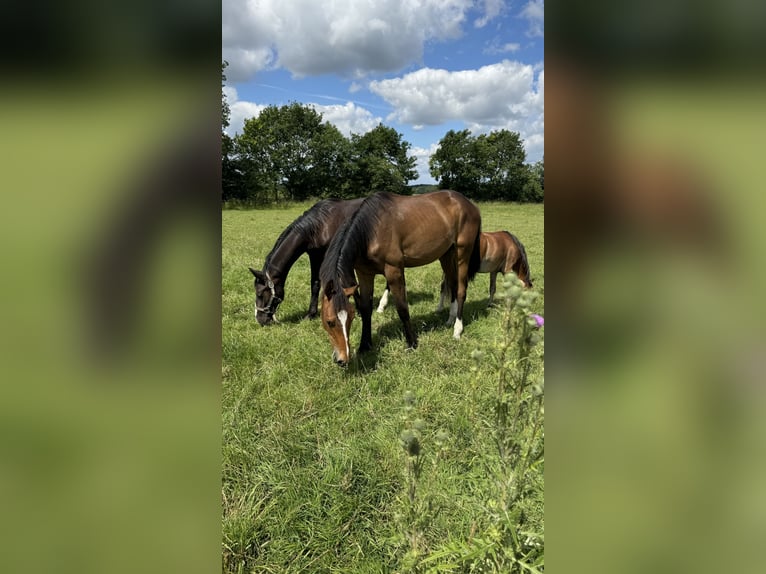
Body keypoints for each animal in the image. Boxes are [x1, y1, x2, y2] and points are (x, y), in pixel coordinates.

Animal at [248, 198, 364, 326]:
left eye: (260, 294)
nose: (260, 320)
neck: (321, 225)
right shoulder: (315, 256)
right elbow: (315, 284)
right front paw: (311, 314)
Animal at [320, 191, 484, 366]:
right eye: (329, 321)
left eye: (349, 318)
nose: (342, 359)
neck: (371, 230)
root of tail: (469, 204)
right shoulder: (364, 274)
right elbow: (365, 309)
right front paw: (365, 345)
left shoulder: (394, 271)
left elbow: (402, 308)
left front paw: (412, 343)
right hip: (447, 254)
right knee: (452, 285)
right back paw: (450, 319)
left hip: (463, 253)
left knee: (461, 290)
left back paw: (457, 330)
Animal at [378, 230, 536, 312]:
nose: (529, 309)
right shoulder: (508, 271)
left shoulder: (494, 272)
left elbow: (492, 288)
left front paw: (490, 304)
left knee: (443, 287)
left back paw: (440, 308)